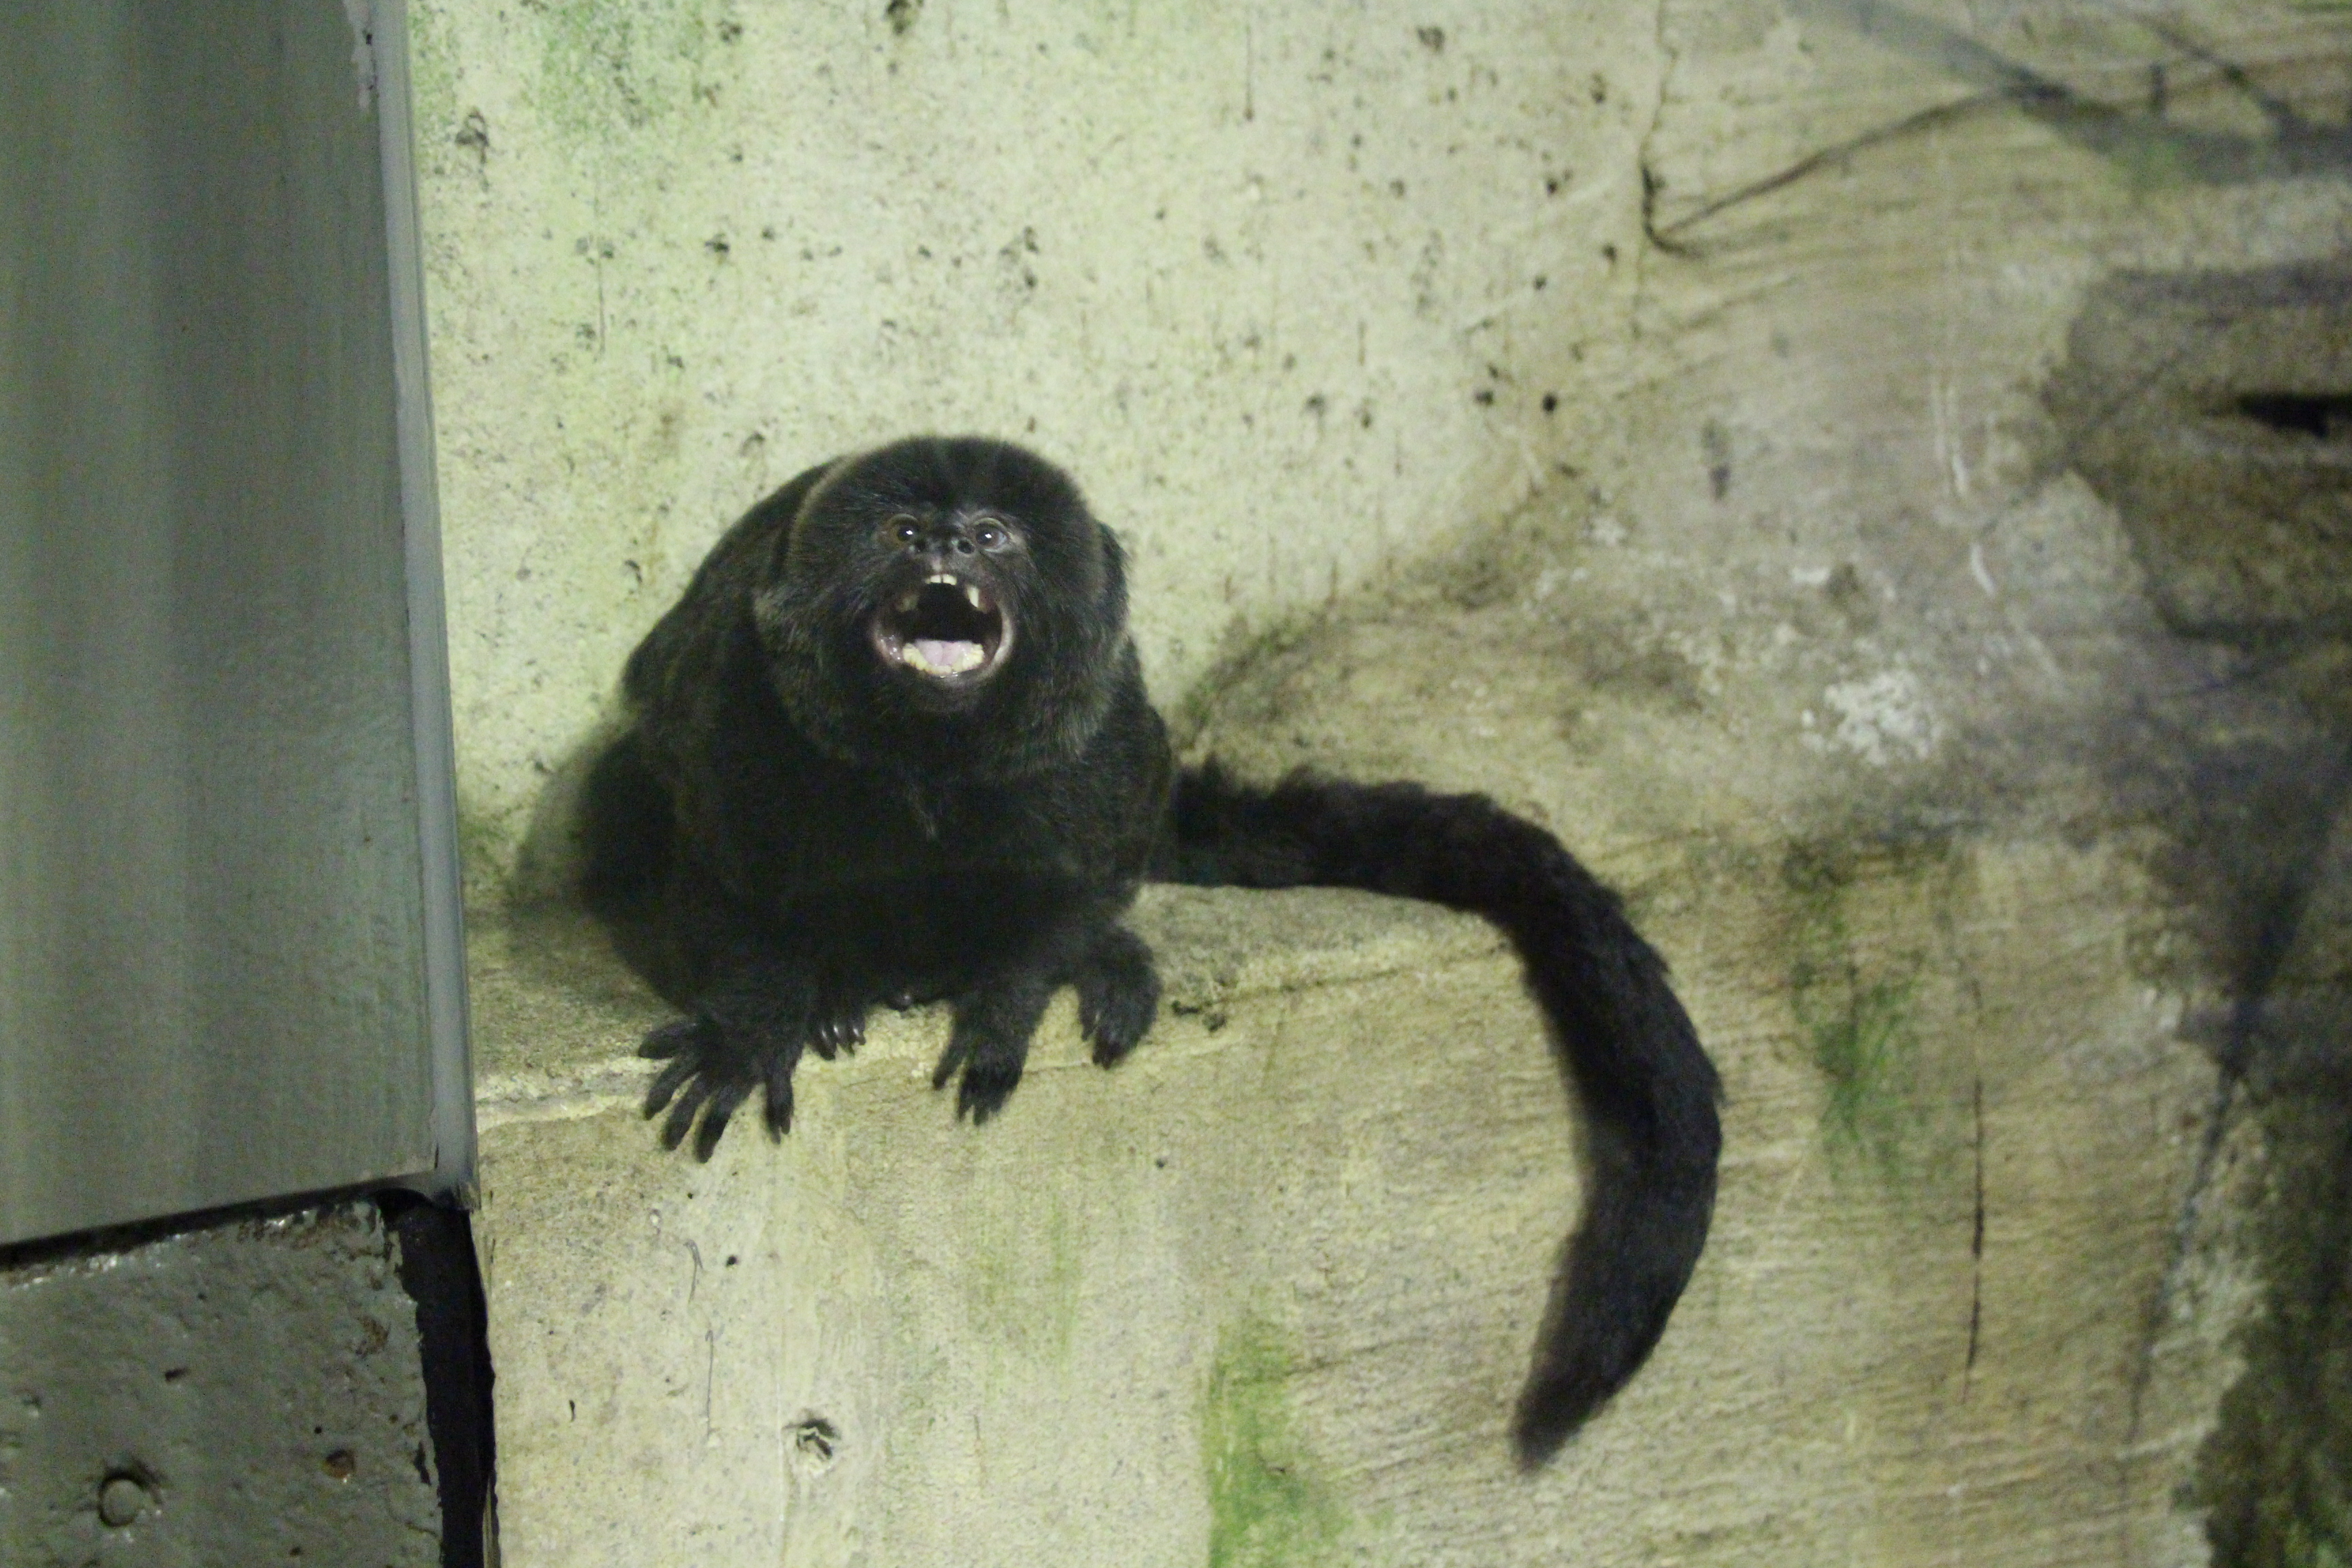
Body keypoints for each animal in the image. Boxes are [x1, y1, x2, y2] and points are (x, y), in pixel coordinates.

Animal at [581, 435, 1721, 1464]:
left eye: (992, 538)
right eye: (903, 535)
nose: (945, 545)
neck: (931, 750)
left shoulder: (1099, 729)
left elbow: (1083, 876)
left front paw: (1012, 998)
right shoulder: (737, 703)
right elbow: (722, 881)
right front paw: (756, 1029)